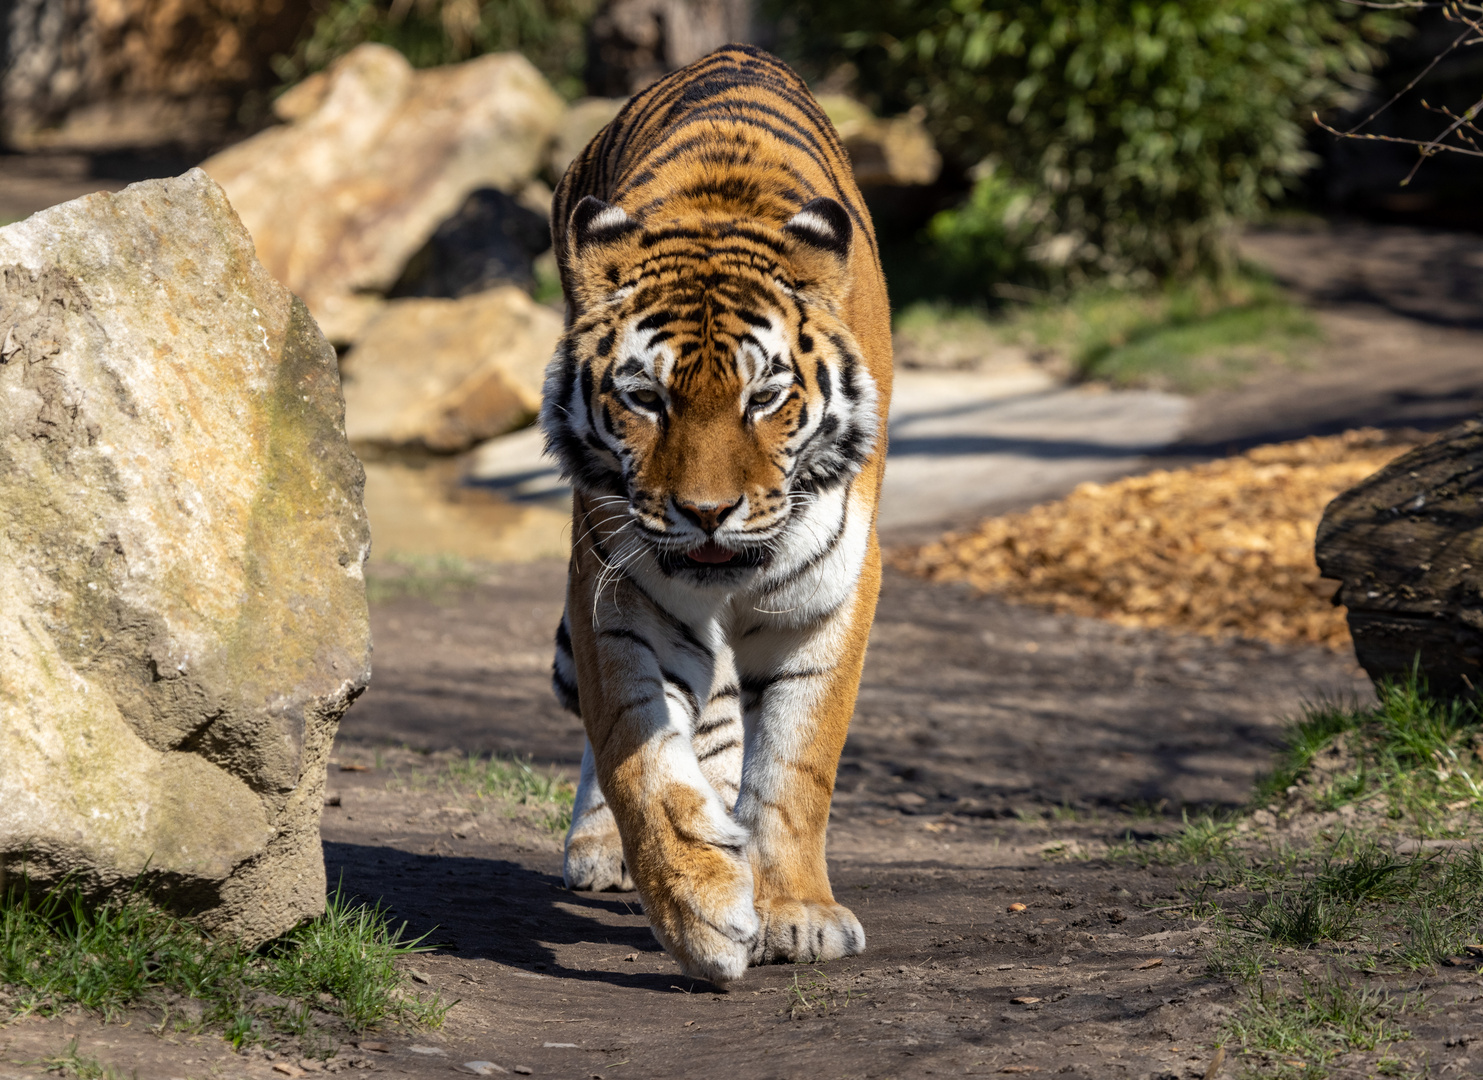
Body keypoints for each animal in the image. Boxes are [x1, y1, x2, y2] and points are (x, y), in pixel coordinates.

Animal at [545, 44, 889, 985]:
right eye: (644, 398)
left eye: (763, 397)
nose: (705, 513)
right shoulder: (619, 586)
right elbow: (637, 752)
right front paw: (699, 907)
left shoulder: (830, 593)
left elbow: (796, 764)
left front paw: (798, 914)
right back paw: (607, 850)